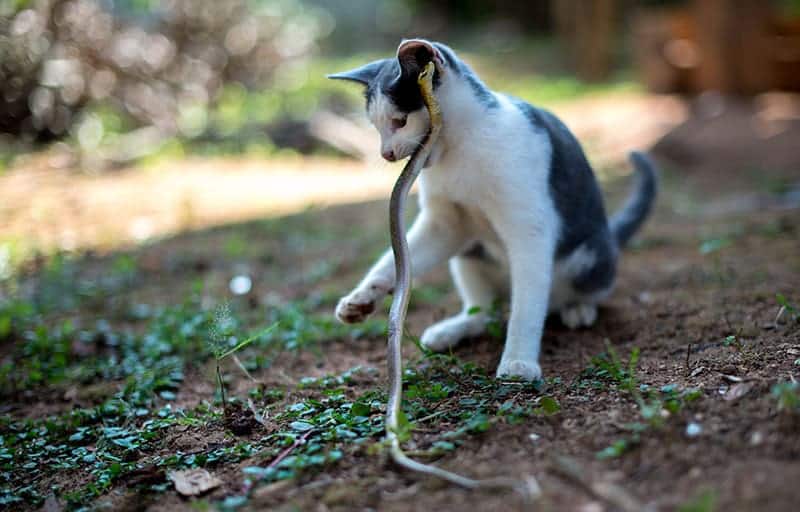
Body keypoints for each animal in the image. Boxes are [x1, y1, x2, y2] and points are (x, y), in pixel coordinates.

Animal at [326, 39, 656, 380]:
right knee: (484, 310)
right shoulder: (445, 224)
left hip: (590, 255)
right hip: (469, 254)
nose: (386, 153)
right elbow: (393, 261)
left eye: (400, 120)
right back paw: (452, 330)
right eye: (377, 126)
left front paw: (518, 363)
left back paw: (578, 309)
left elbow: (526, 307)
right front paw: (361, 298)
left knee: (583, 290)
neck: (459, 150)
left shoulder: (531, 230)